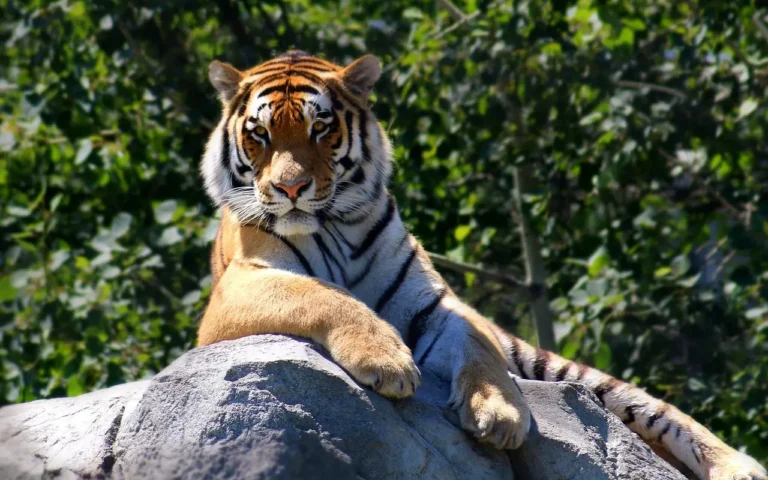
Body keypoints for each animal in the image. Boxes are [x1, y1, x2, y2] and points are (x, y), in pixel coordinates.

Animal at [197, 50, 766, 480]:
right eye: (261, 135)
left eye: (320, 129)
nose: (290, 188)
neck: (337, 224)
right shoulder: (239, 289)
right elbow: (322, 295)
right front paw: (387, 361)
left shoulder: (436, 303)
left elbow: (477, 346)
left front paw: (500, 413)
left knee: (654, 410)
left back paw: (739, 467)